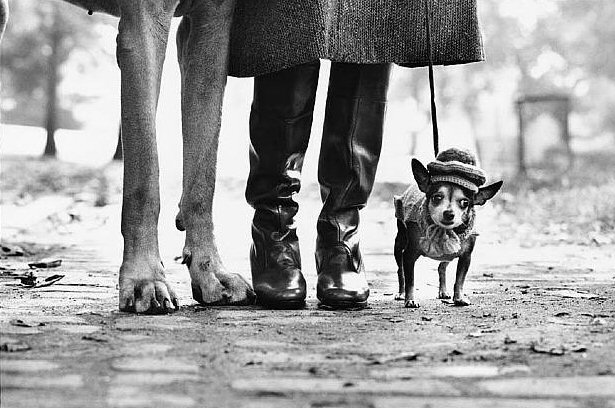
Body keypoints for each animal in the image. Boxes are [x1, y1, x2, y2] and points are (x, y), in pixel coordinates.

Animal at [392, 148, 502, 308]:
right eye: (437, 197)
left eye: (465, 203)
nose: (449, 213)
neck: (443, 230)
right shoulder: (409, 255)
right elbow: (410, 280)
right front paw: (410, 299)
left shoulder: (465, 257)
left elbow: (459, 280)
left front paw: (459, 298)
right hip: (399, 244)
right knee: (400, 271)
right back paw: (401, 293)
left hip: (448, 255)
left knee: (441, 267)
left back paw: (443, 291)